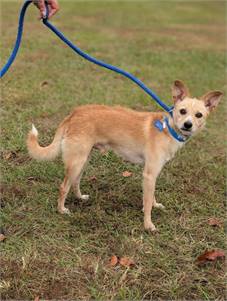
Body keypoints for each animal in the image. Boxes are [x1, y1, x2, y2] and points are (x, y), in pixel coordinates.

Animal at [27, 79, 223, 230]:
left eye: (199, 115)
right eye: (182, 111)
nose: (188, 125)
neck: (168, 129)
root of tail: (74, 113)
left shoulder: (153, 174)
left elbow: (151, 197)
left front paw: (155, 205)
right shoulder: (149, 174)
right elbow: (147, 203)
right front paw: (148, 225)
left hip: (82, 159)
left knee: (75, 182)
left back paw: (80, 197)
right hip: (77, 161)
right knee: (63, 187)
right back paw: (61, 210)